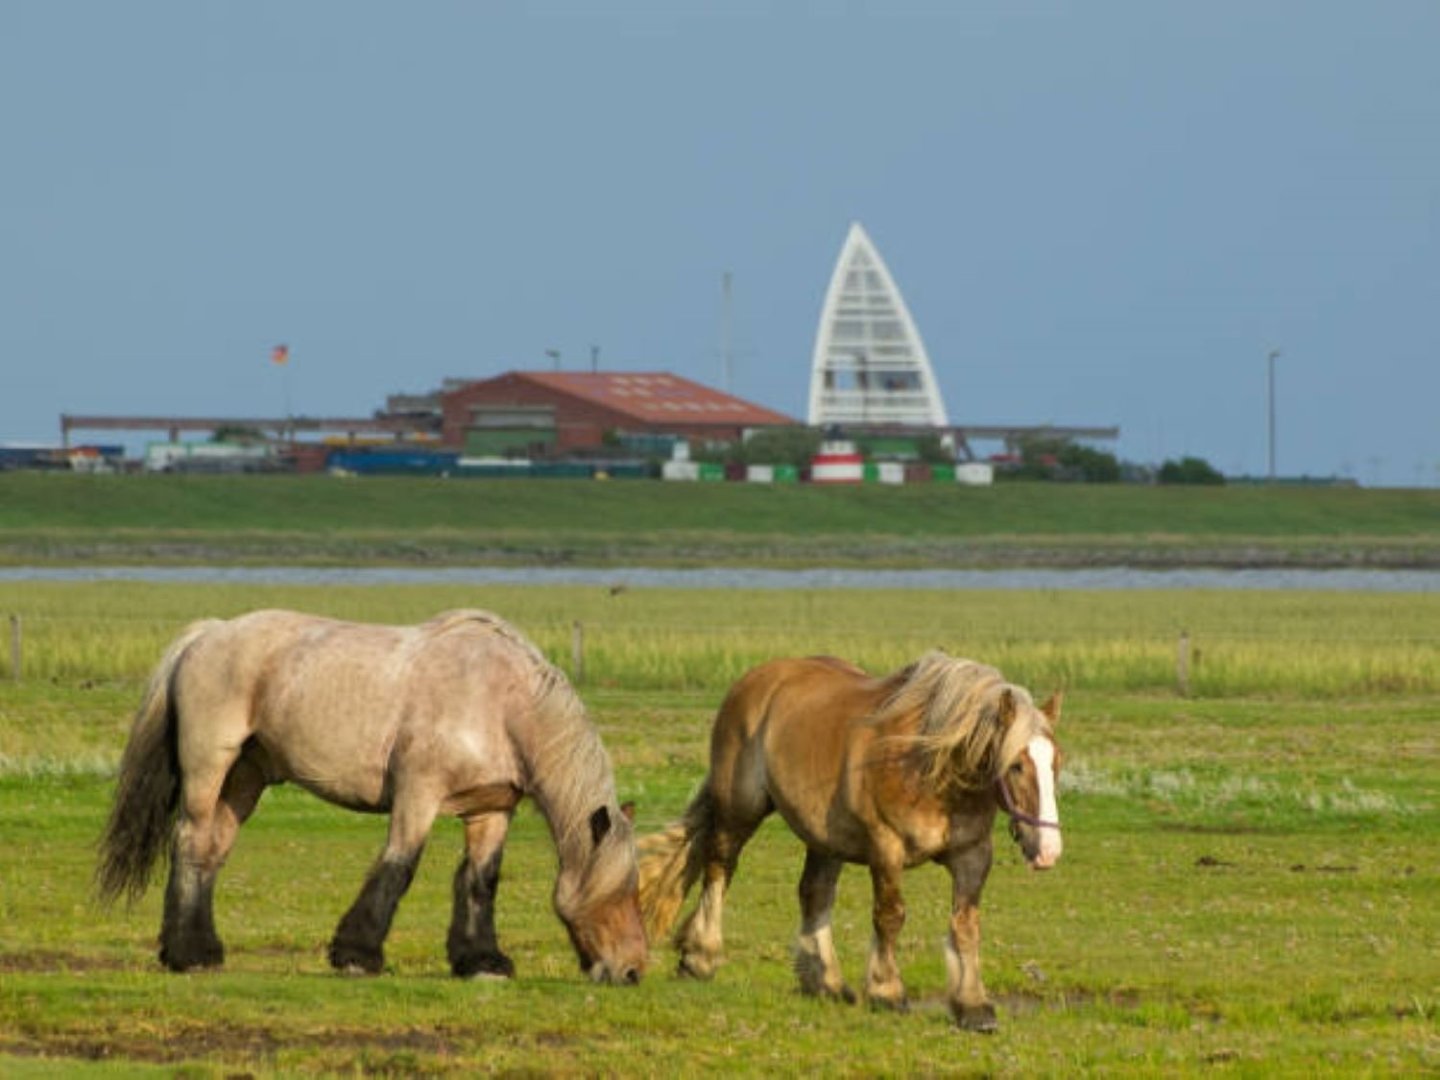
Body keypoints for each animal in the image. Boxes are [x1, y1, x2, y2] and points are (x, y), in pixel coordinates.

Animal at [95, 610, 648, 990]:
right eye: (622, 891)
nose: (632, 970)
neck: (499, 702)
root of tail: (207, 634)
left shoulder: (490, 809)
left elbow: (479, 881)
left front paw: (481, 962)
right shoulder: (418, 795)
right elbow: (399, 867)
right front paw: (357, 955)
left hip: (245, 780)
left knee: (212, 851)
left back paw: (202, 949)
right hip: (210, 770)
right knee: (190, 843)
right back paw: (187, 954)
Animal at [639, 650, 1059, 1031]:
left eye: (1055, 764)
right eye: (1017, 765)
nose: (1049, 852)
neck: (928, 766)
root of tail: (753, 681)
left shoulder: (973, 854)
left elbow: (966, 924)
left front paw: (973, 1007)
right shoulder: (886, 848)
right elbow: (890, 916)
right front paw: (887, 991)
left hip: (824, 838)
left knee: (815, 893)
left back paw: (826, 982)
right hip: (739, 809)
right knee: (719, 869)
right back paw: (701, 958)